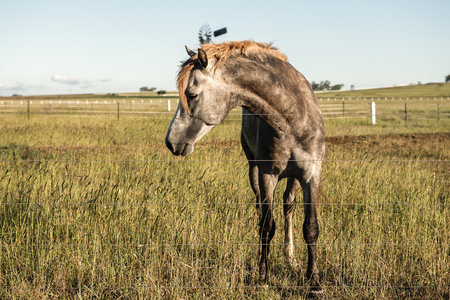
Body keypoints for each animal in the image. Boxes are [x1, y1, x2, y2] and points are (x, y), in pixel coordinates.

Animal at [165, 41, 324, 296]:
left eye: (191, 94)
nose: (171, 142)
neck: (293, 117)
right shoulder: (268, 174)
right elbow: (267, 226)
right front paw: (263, 278)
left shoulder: (311, 175)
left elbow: (310, 227)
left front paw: (314, 283)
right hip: (254, 172)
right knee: (261, 211)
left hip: (293, 179)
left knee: (288, 205)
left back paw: (290, 258)